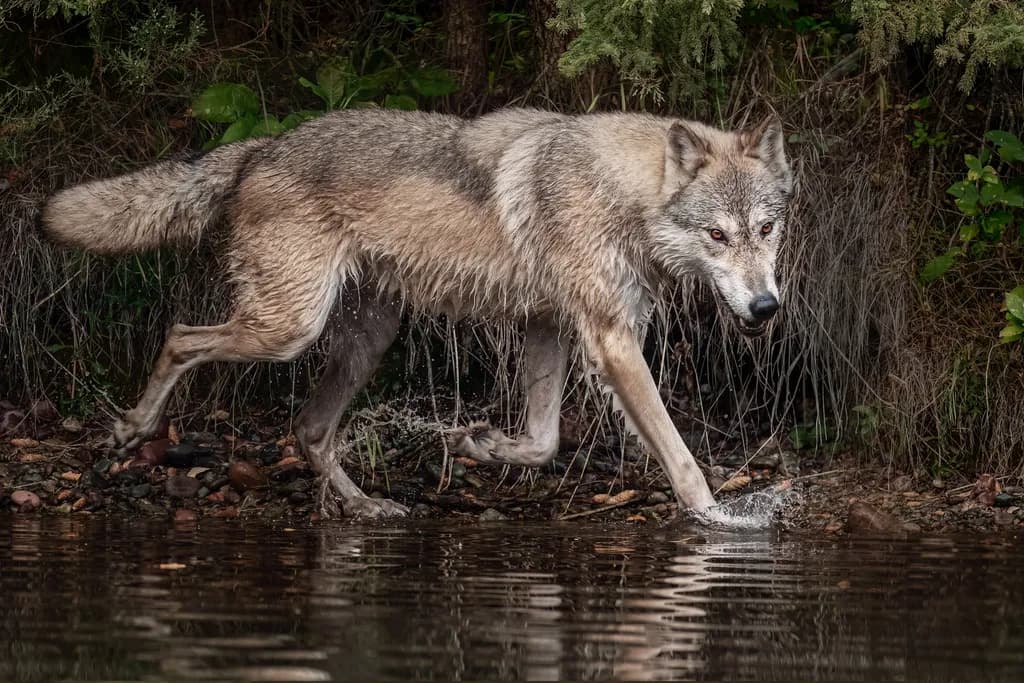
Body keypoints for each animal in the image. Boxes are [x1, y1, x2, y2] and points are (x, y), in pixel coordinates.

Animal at [42, 107, 792, 518]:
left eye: (765, 229)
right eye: (717, 235)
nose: (766, 306)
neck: (618, 190)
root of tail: (262, 147)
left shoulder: (548, 326)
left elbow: (544, 440)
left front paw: (478, 444)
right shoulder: (609, 340)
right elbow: (679, 455)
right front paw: (719, 522)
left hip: (367, 339)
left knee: (310, 429)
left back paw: (366, 507)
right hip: (287, 330)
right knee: (179, 336)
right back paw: (132, 428)